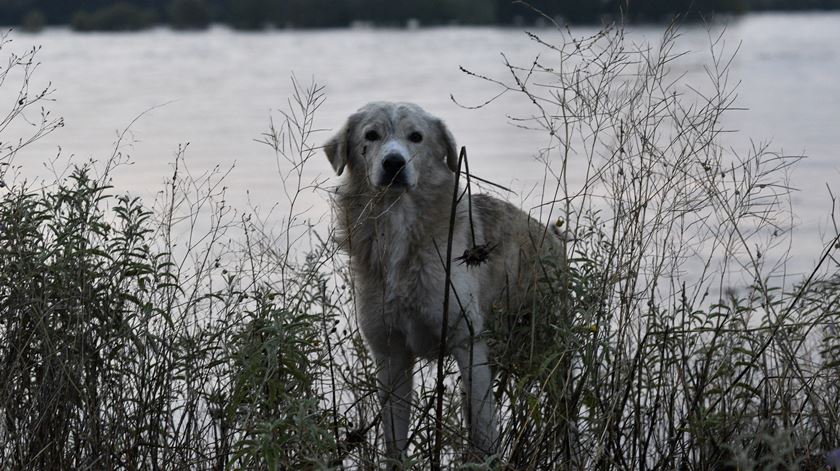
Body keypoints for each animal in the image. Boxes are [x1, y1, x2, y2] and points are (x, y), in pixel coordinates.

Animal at [324, 102, 568, 460]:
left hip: (547, 349)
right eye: (371, 135)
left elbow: (484, 432)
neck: (398, 227)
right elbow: (394, 443)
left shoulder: (468, 344)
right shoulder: (390, 356)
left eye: (416, 137)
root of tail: (551, 235)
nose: (394, 163)